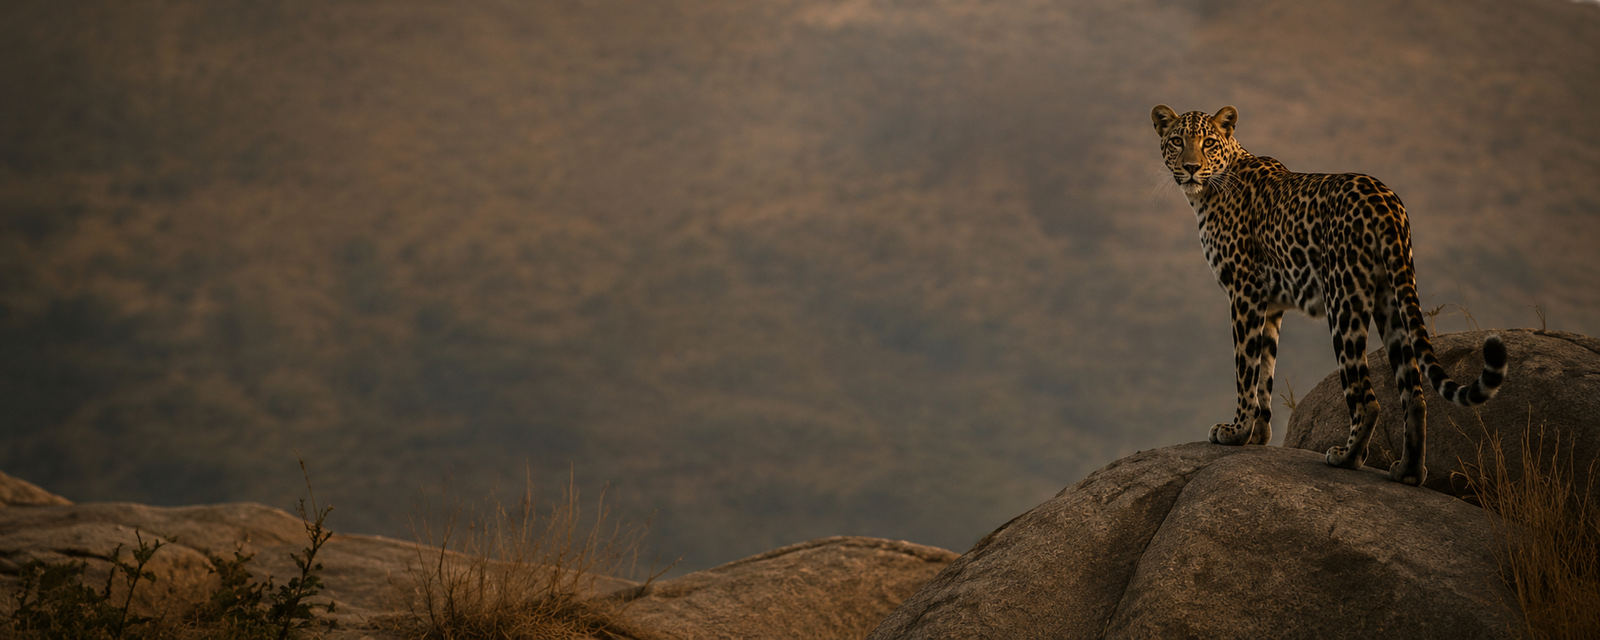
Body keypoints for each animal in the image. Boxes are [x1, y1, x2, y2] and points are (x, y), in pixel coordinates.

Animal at [1150, 104, 1508, 486]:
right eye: (1177, 141)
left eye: (1208, 142)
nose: (1191, 167)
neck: (1207, 192)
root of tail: (1385, 200)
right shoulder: (1271, 305)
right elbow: (1265, 371)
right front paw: (1258, 435)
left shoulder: (1245, 291)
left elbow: (1245, 367)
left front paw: (1236, 432)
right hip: (1391, 300)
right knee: (1414, 392)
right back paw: (1408, 472)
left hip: (1343, 300)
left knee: (1367, 398)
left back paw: (1346, 457)